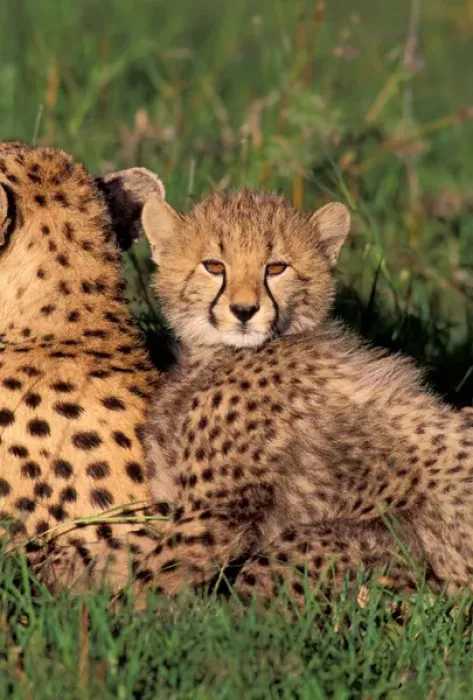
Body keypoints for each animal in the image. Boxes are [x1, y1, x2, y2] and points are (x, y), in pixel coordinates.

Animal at [137, 187, 473, 605]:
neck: (223, 353)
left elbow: (151, 577)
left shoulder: (214, 512)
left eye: (276, 268)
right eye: (214, 266)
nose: (244, 310)